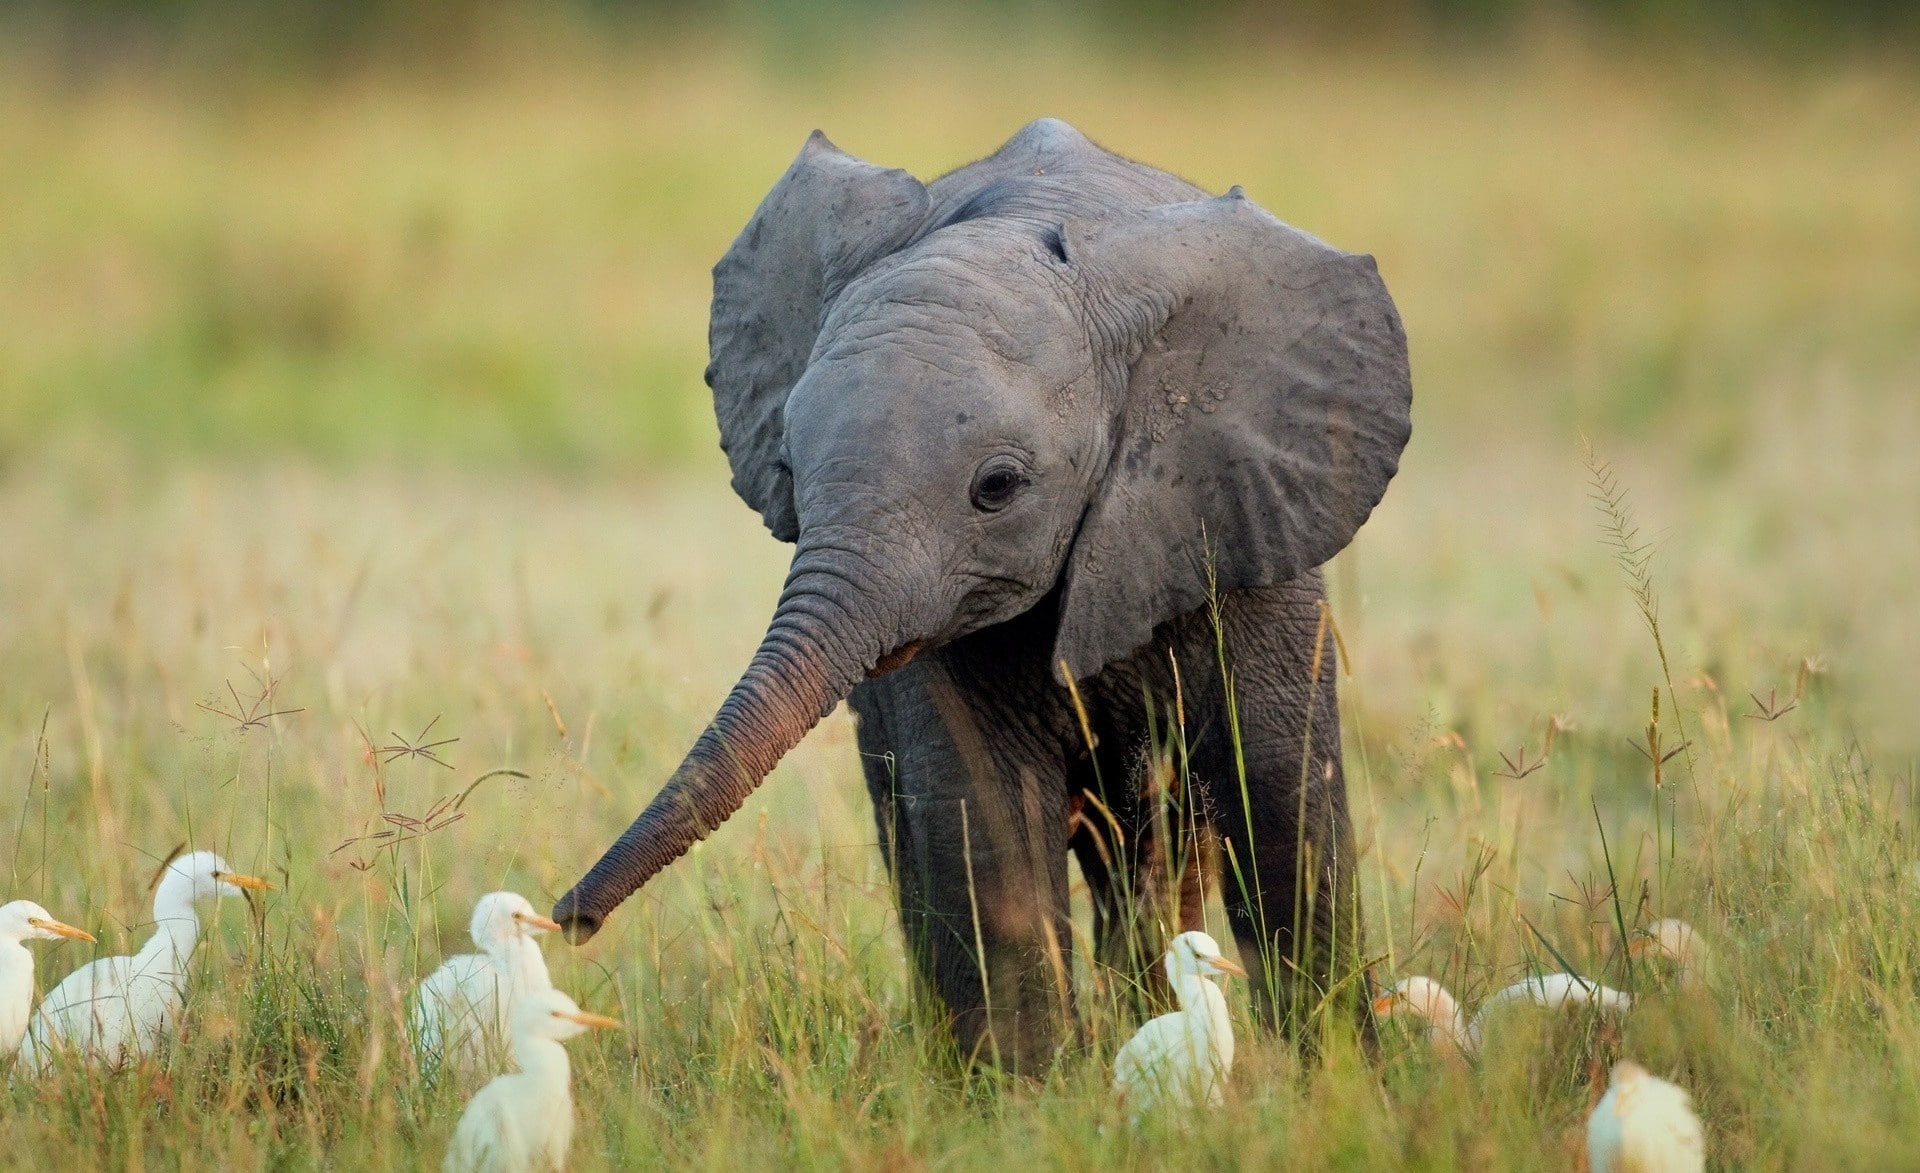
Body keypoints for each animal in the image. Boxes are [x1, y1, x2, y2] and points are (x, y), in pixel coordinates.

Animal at [554, 118, 1412, 1073]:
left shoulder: (1245, 514)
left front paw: (1342, 1078)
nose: (569, 921)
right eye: (786, 469)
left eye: (996, 487)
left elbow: (1282, 797)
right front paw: (1026, 1094)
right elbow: (982, 815)